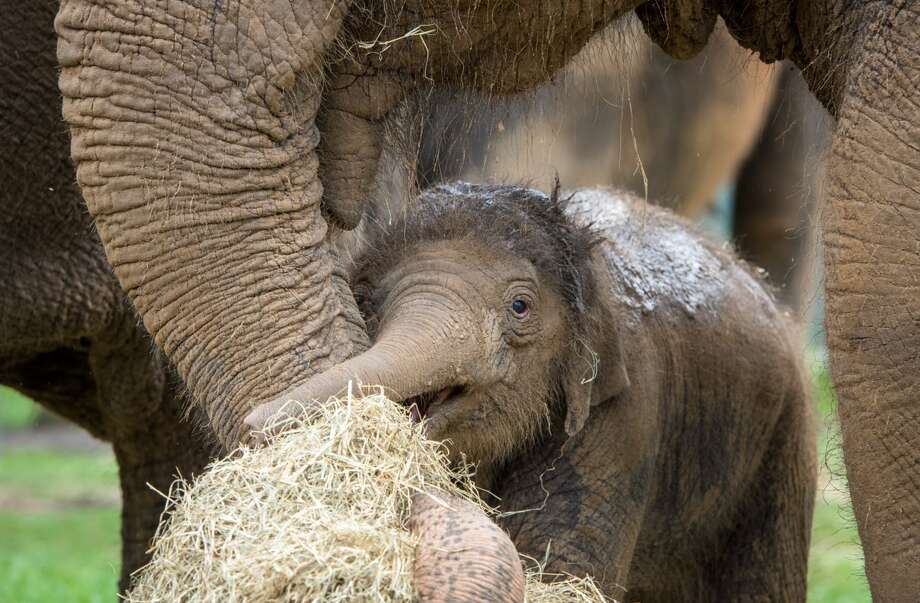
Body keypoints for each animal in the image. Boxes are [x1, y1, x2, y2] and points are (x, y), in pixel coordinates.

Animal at [246, 182, 818, 601]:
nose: (254, 425)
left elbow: (563, 567)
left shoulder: (620, 420)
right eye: (364, 298)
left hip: (782, 446)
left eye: (520, 307)